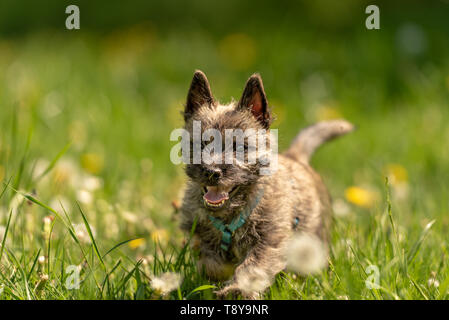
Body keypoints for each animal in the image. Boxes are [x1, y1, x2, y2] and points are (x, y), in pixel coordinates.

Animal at [178, 69, 354, 298]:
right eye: (201, 144)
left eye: (240, 147)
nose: (211, 172)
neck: (231, 213)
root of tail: (295, 156)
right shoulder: (199, 235)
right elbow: (211, 263)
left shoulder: (269, 241)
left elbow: (251, 267)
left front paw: (236, 288)